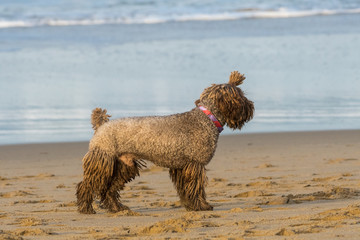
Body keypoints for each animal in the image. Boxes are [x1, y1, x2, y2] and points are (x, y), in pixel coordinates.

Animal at [75, 70, 253, 213]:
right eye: (241, 95)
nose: (251, 106)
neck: (206, 118)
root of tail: (101, 124)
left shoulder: (182, 167)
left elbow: (186, 190)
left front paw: (191, 205)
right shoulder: (195, 165)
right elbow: (195, 188)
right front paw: (201, 206)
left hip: (123, 166)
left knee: (109, 190)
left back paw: (117, 208)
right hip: (102, 163)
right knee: (86, 186)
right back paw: (86, 208)